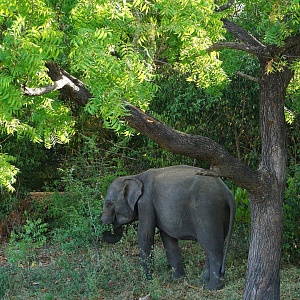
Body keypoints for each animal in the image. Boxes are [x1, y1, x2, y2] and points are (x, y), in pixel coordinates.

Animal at [102, 165, 236, 290]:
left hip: (207, 211)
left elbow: (145, 235)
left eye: (108, 203)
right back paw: (203, 280)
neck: (136, 176)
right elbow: (168, 239)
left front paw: (147, 280)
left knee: (212, 248)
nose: (104, 228)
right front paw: (178, 279)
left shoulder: (146, 203)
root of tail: (227, 192)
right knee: (212, 247)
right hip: (221, 213)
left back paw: (212, 288)